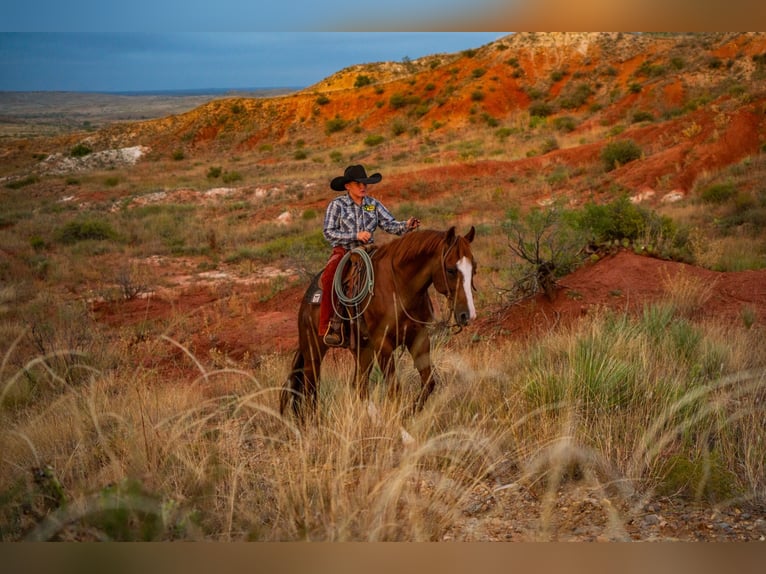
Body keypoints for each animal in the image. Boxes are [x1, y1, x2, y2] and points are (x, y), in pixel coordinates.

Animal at [280, 226, 477, 421]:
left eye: (474, 269)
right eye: (450, 270)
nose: (467, 315)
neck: (399, 288)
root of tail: (306, 299)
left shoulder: (418, 337)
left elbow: (429, 383)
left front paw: (407, 414)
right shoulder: (383, 343)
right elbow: (394, 389)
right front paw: (398, 417)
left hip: (362, 350)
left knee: (358, 384)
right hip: (313, 349)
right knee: (310, 387)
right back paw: (312, 422)